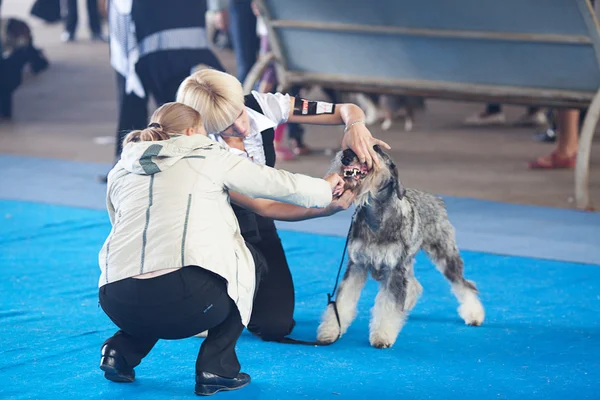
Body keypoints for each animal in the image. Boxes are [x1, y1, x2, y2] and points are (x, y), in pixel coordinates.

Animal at [316, 146, 486, 346]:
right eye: (348, 149)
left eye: (375, 149)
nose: (346, 156)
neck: (375, 217)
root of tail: (436, 199)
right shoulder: (357, 266)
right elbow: (343, 302)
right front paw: (330, 331)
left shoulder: (394, 269)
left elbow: (389, 304)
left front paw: (382, 336)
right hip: (408, 261)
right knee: (414, 285)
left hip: (444, 255)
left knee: (463, 284)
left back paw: (474, 314)